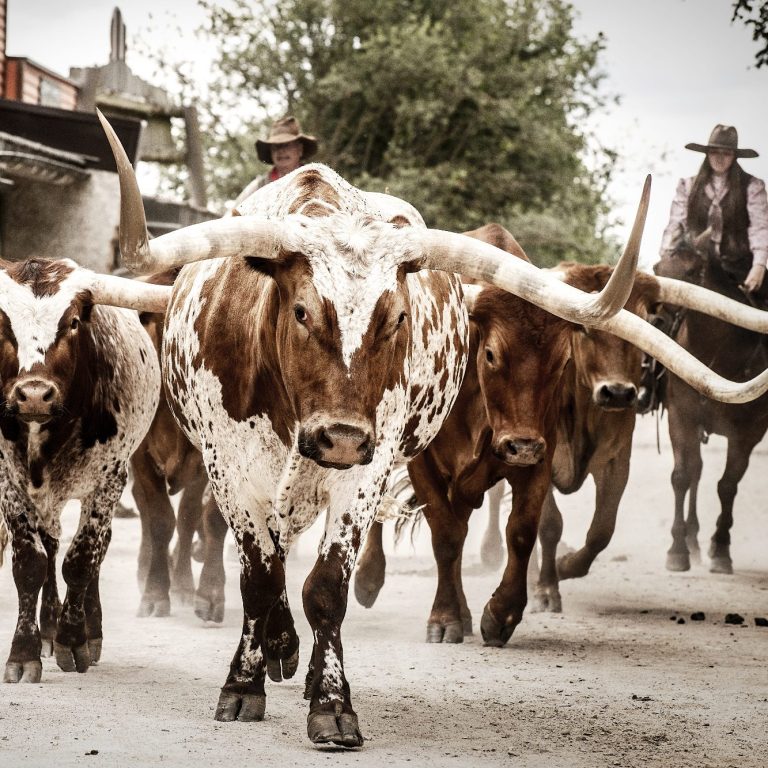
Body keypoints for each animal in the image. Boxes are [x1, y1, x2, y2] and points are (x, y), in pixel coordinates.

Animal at [0, 260, 167, 684]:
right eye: (0, 322)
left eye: (73, 322)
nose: (33, 395)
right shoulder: (8, 481)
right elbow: (31, 564)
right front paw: (25, 652)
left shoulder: (107, 481)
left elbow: (80, 560)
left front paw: (73, 641)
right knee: (51, 545)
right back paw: (48, 627)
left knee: (96, 551)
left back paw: (89, 631)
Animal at [656, 237, 768, 572]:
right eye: (657, 268)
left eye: (693, 272)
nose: (658, 320)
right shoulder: (681, 416)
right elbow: (681, 476)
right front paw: (677, 550)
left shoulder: (747, 434)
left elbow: (727, 485)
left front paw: (720, 548)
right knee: (695, 471)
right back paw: (691, 540)